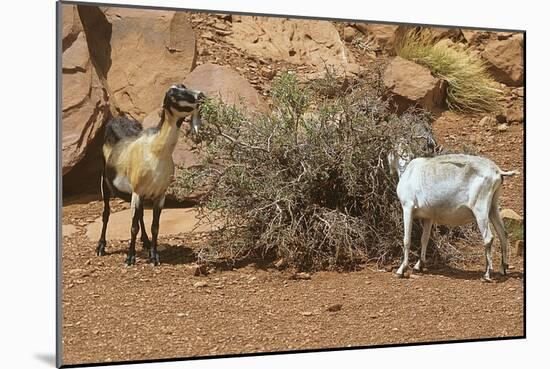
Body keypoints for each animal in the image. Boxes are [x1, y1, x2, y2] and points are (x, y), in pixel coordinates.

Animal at [96, 84, 206, 264]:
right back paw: (101, 247)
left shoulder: (159, 194)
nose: (200, 95)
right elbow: (133, 226)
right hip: (105, 182)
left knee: (140, 215)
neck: (156, 151)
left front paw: (154, 257)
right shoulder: (137, 191)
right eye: (174, 95)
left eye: (184, 86)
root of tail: (115, 120)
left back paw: (146, 243)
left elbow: (155, 226)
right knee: (106, 213)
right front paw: (130, 258)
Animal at [390, 151, 520, 280]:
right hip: (493, 207)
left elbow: (406, 240)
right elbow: (424, 239)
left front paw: (401, 270)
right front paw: (419, 265)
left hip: (480, 209)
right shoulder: (428, 217)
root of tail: (497, 171)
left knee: (489, 237)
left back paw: (487, 274)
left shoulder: (407, 208)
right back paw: (503, 268)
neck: (409, 170)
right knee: (503, 234)